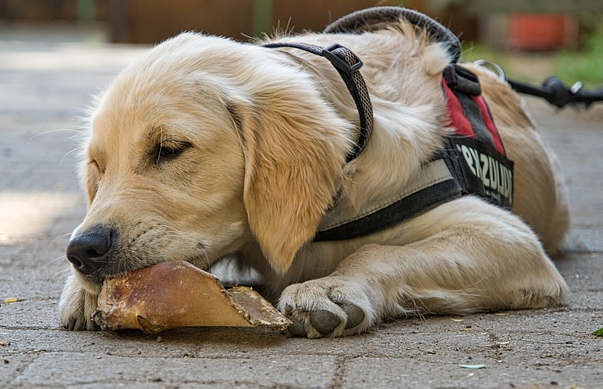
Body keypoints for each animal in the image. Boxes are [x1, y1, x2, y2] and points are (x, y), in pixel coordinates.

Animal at [59, 21, 568, 336]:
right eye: (98, 168)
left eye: (168, 149)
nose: (82, 250)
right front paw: (81, 292)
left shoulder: (507, 236)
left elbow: (376, 251)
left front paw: (330, 289)